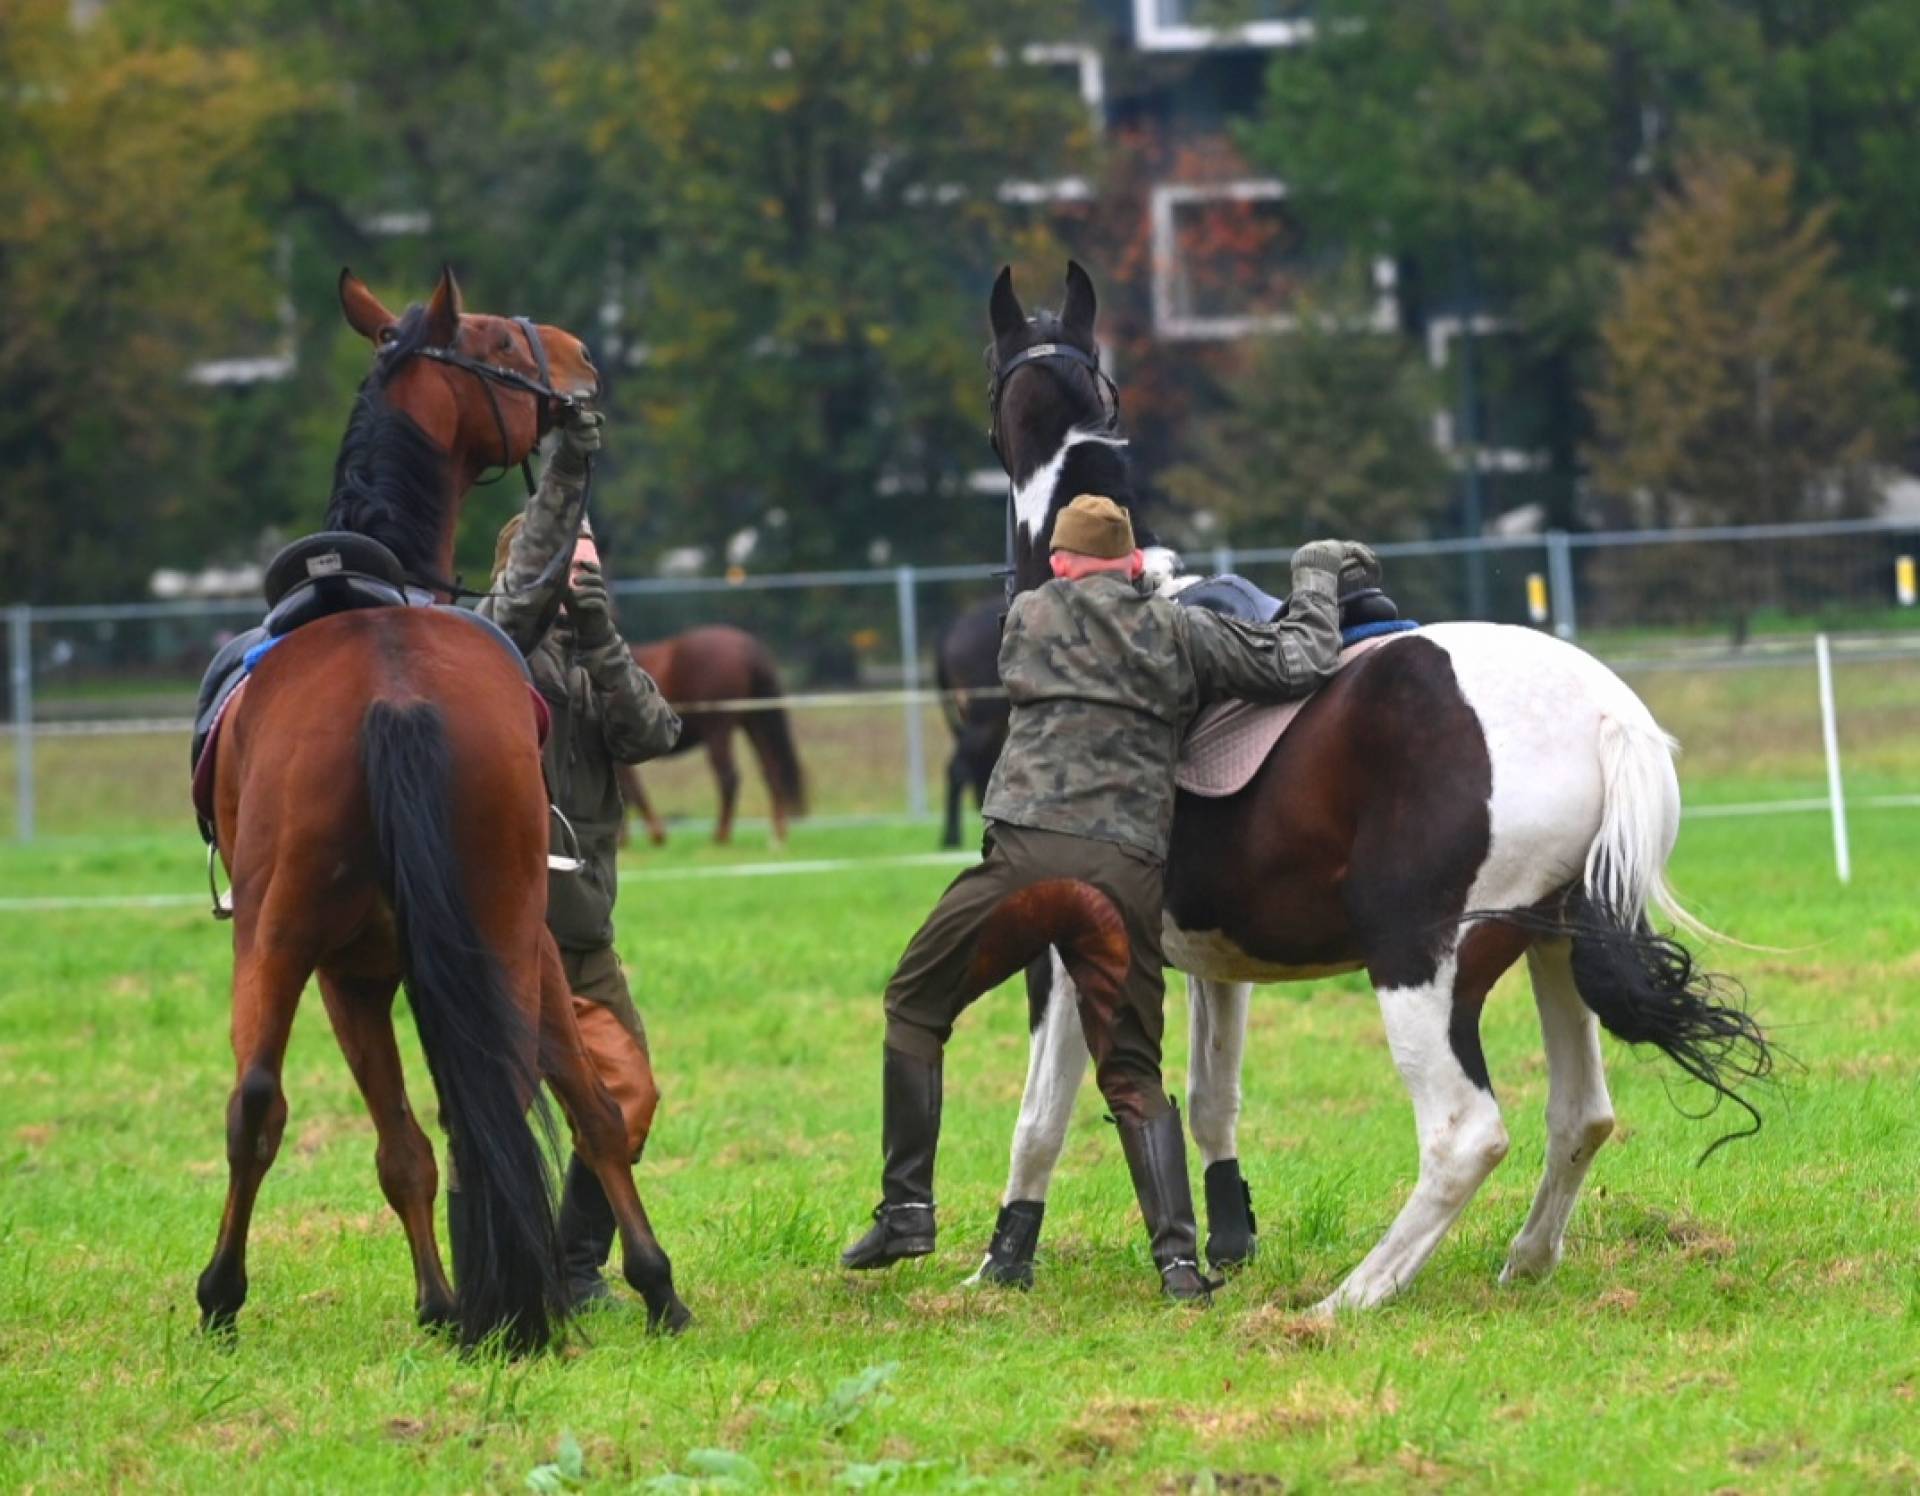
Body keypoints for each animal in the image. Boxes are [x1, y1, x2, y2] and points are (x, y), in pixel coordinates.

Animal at [194, 272, 687, 1359]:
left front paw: (443, 1297)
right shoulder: (405, 962)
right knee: (548, 1097)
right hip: (495, 927)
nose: (582, 356)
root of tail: (393, 688)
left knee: (258, 1102)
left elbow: (403, 1145)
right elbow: (476, 1127)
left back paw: (222, 1292)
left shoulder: (352, 972)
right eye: (499, 337)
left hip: (286, 936)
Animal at [610, 626, 798, 848]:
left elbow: (629, 789)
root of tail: (745, 647)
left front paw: (651, 835)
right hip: (754, 723)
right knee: (771, 772)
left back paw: (722, 834)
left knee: (728, 777)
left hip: (718, 731)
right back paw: (777, 835)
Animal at [960, 266, 1766, 1313]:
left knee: (1467, 1134)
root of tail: (1605, 717)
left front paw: (1001, 1262)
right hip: (1556, 946)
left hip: (1417, 959)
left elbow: (1041, 1117)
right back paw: (1523, 1261)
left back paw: (1351, 1298)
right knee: (1581, 1114)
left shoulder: (1068, 942)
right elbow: (1212, 1102)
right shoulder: (1216, 962)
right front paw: (1229, 1242)